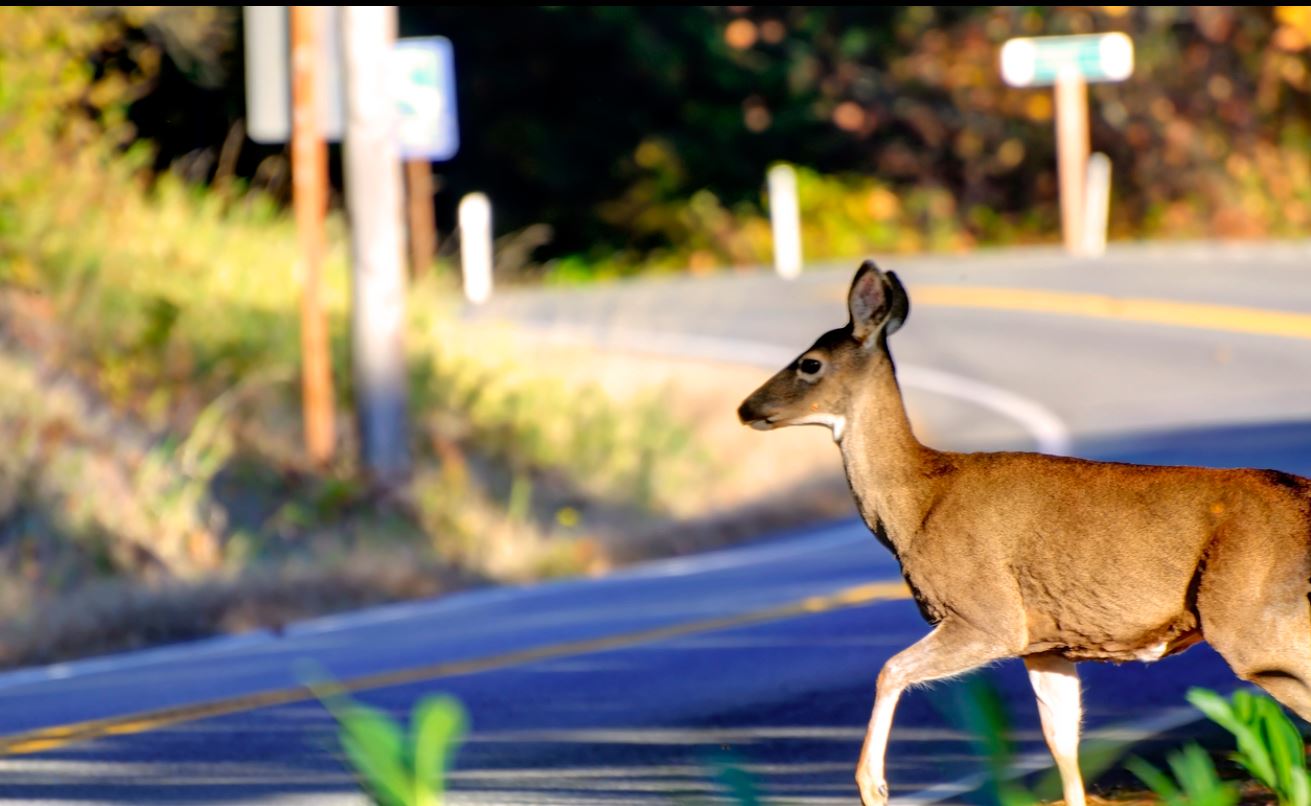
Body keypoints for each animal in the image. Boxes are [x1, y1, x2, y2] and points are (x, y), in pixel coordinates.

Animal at [739, 262, 1311, 802]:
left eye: (809, 363)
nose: (747, 408)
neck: (918, 501)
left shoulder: (987, 614)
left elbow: (890, 669)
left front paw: (871, 786)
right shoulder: (1047, 642)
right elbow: (1062, 744)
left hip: (1254, 623)